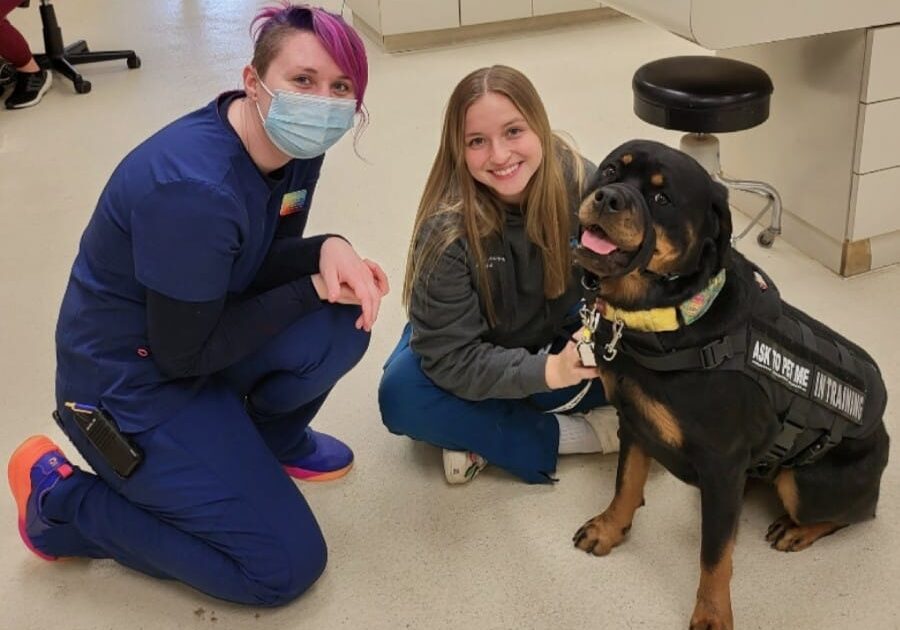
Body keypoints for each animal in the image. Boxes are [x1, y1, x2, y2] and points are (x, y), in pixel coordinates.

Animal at [572, 141, 888, 628]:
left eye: (662, 199)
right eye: (609, 171)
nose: (608, 198)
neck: (667, 319)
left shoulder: (722, 465)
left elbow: (715, 554)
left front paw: (712, 612)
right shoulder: (635, 421)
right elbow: (625, 484)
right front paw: (610, 528)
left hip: (806, 483)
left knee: (855, 512)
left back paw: (798, 530)